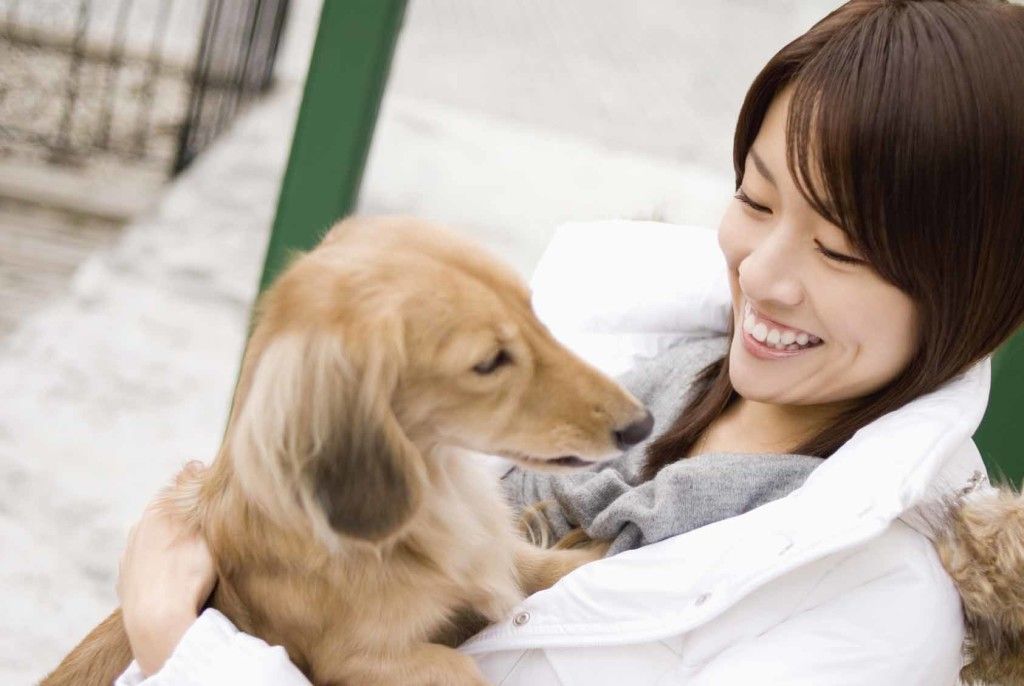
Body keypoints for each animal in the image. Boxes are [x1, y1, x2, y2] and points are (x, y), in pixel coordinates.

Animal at [44, 216, 651, 686]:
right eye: (488, 362)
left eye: (533, 313)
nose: (640, 425)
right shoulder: (360, 660)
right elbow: (459, 667)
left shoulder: (489, 552)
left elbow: (536, 565)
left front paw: (596, 554)